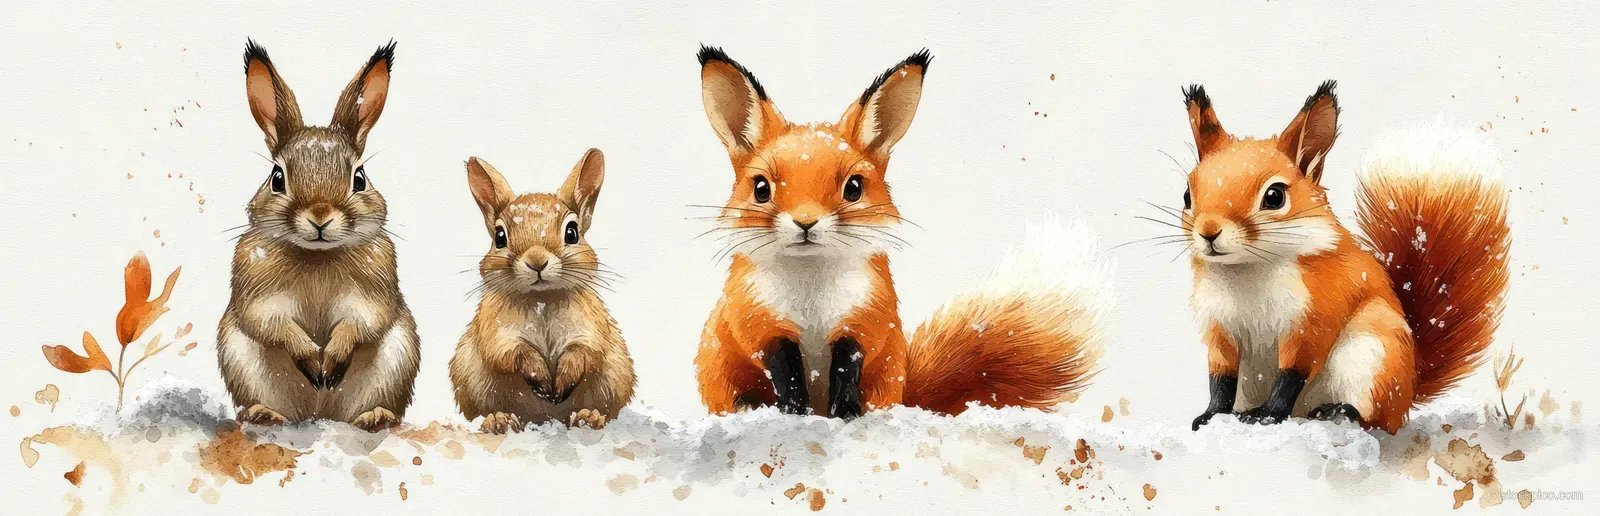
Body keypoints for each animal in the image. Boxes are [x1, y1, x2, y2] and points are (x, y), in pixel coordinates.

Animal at [216, 39, 420, 432]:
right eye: (277, 178)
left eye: (360, 179)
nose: (320, 217)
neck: (318, 256)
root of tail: (320, 416)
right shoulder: (258, 296)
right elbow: (273, 325)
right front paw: (313, 361)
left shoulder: (372, 296)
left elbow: (359, 324)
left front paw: (331, 362)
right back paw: (264, 414)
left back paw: (375, 417)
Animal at [449, 150, 635, 433]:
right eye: (499, 237)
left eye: (572, 232)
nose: (536, 261)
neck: (542, 299)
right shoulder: (496, 333)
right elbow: (511, 354)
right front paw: (543, 383)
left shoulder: (591, 330)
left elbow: (584, 352)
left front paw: (560, 384)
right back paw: (499, 420)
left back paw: (588, 417)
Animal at [691, 46, 1113, 418]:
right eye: (761, 189)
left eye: (854, 188)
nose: (806, 222)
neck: (812, 295)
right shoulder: (760, 323)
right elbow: (786, 372)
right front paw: (795, 414)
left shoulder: (866, 322)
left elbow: (846, 368)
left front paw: (846, 414)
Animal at [1176, 81, 1510, 434]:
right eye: (1187, 195)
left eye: (1275, 196)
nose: (1209, 232)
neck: (1246, 268)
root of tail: (1408, 393)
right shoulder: (1220, 326)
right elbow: (1221, 377)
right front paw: (1212, 415)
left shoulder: (1316, 314)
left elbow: (1292, 373)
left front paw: (1267, 414)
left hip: (1372, 356)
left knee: (1375, 419)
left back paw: (1338, 410)